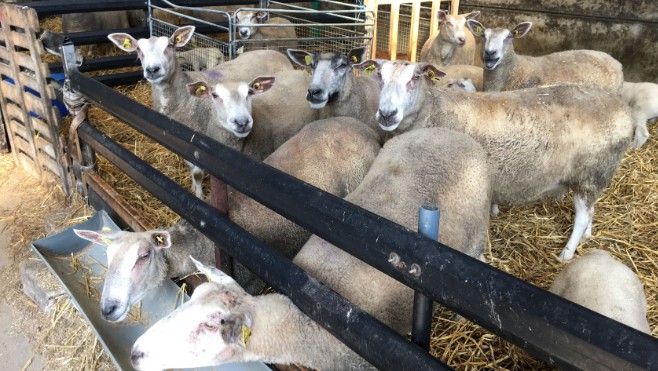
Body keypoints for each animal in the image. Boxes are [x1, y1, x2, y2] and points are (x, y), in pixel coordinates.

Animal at [73, 118, 380, 320]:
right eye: (107, 255)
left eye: (144, 256)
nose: (107, 309)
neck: (205, 239)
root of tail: (363, 127)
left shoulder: (251, 285)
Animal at [358, 59, 636, 260]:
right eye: (379, 75)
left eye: (415, 78)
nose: (386, 114)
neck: (434, 108)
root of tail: (624, 111)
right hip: (596, 176)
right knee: (590, 210)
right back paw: (587, 235)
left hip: (592, 171)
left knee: (581, 216)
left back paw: (566, 253)